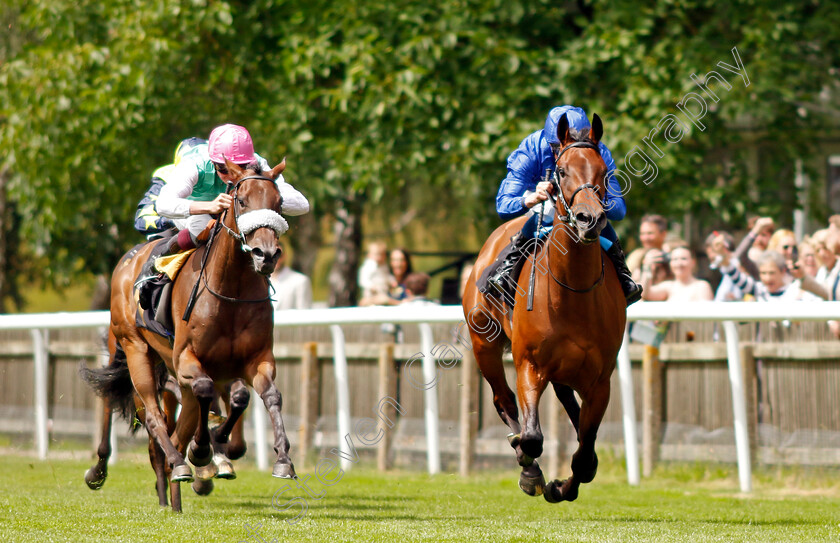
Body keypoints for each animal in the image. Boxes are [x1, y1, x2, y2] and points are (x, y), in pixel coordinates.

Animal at [83, 159, 296, 512]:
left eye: (279, 203)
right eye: (241, 201)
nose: (265, 255)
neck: (231, 292)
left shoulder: (256, 360)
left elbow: (263, 396)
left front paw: (281, 459)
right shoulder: (186, 360)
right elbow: (204, 391)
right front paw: (202, 451)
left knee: (175, 428)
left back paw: (177, 484)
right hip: (134, 349)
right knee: (151, 417)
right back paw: (162, 466)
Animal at [462, 115, 628, 506]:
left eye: (603, 172)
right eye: (562, 171)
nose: (588, 219)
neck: (573, 292)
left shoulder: (600, 379)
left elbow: (584, 454)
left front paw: (562, 486)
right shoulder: (530, 365)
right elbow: (534, 437)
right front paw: (532, 471)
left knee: (571, 410)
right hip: (484, 344)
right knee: (503, 400)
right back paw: (525, 461)